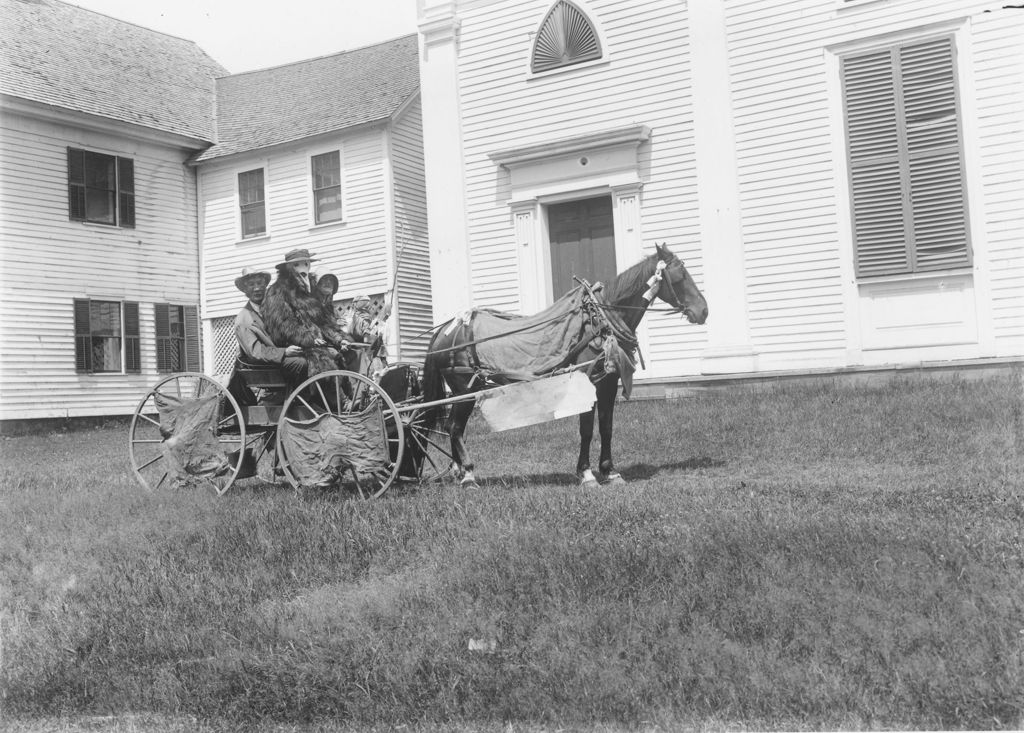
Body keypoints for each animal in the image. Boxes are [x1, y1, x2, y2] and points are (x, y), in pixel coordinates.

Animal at [419, 243, 708, 489]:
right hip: (463, 388)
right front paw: (587, 474)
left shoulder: (608, 384)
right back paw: (468, 475)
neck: (599, 321)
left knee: (453, 427)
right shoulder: (586, 383)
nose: (703, 310)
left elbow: (606, 427)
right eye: (680, 276)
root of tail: (446, 329)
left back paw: (458, 471)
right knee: (455, 428)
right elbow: (586, 429)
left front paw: (610, 471)